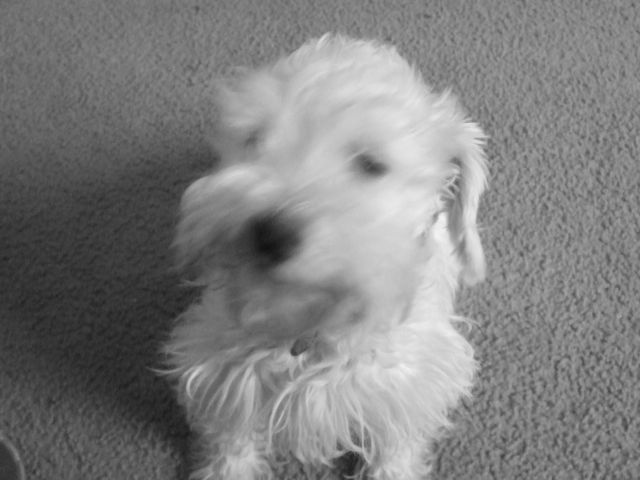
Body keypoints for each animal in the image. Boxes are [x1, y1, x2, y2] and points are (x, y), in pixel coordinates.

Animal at [164, 34, 487, 480]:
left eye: (372, 164)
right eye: (256, 139)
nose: (270, 234)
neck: (308, 330)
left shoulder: (406, 387)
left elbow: (395, 442)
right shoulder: (223, 372)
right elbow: (231, 437)